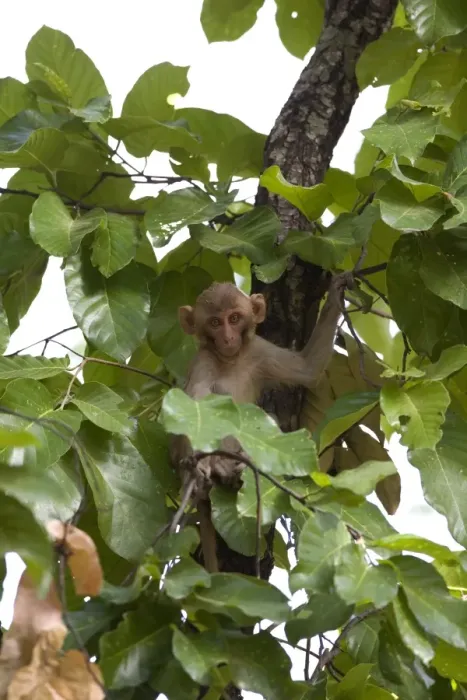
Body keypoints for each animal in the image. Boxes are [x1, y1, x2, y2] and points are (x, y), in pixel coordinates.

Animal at [170, 272, 351, 572]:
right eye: (215, 322)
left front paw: (336, 294)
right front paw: (196, 468)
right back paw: (217, 467)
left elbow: (307, 369)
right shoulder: (202, 362)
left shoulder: (258, 351)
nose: (228, 337)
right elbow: (193, 411)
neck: (230, 359)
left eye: (234, 318)